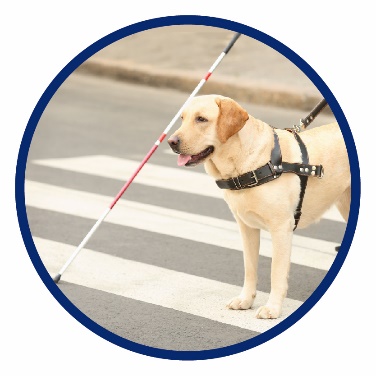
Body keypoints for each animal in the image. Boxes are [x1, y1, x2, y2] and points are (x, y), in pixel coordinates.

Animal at [167, 95, 350, 318]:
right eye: (182, 118)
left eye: (201, 119)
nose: (171, 142)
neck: (248, 165)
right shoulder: (247, 227)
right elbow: (250, 267)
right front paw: (245, 300)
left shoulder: (281, 228)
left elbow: (276, 271)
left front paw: (272, 307)